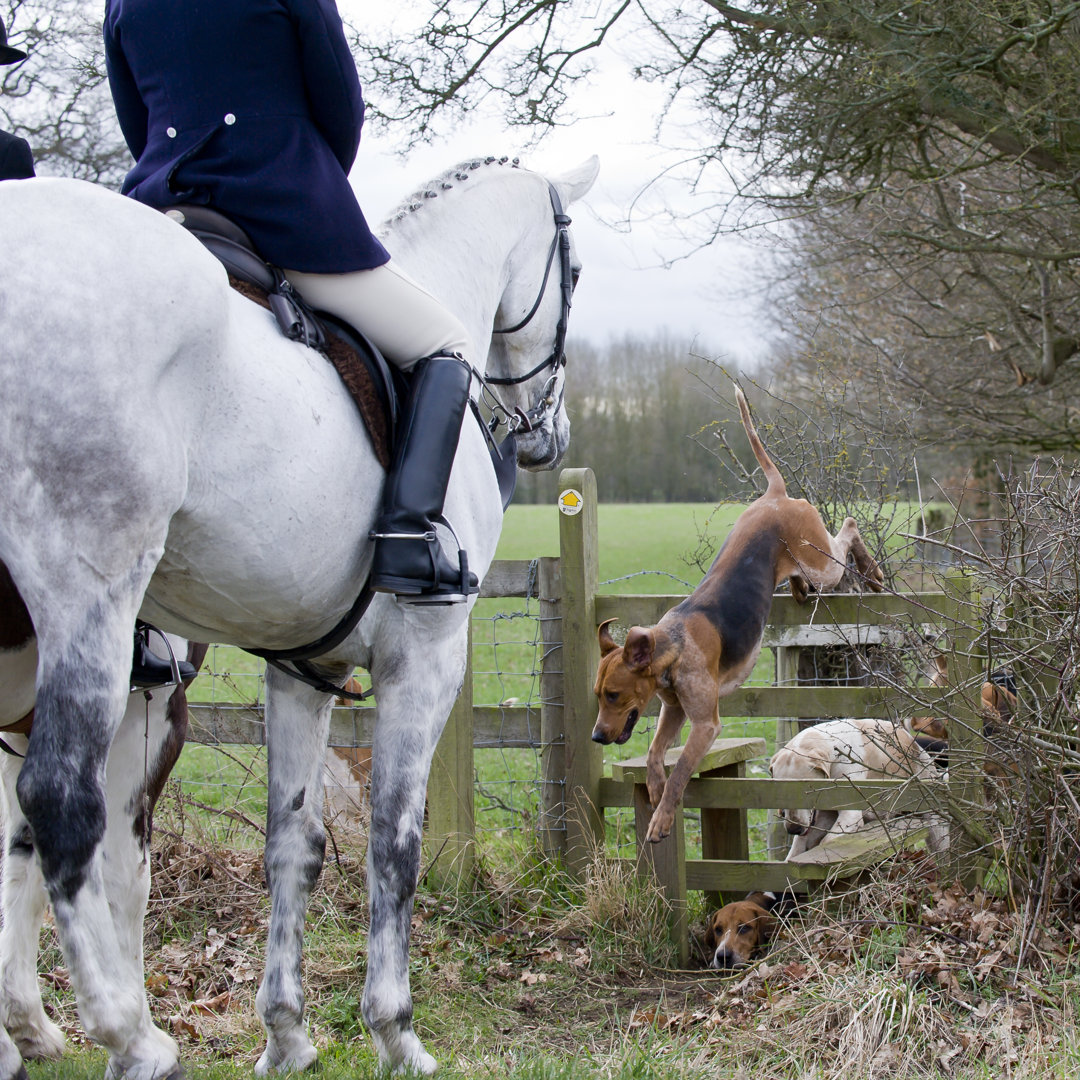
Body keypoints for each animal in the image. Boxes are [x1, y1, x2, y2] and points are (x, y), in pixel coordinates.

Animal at [591, 388, 885, 842]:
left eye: (613, 695)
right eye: (598, 694)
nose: (596, 736)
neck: (672, 647)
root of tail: (775, 495)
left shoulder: (705, 724)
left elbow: (681, 772)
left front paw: (662, 817)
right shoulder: (673, 711)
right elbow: (656, 753)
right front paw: (654, 787)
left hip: (821, 560)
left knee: (849, 527)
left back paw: (871, 571)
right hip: (808, 566)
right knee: (810, 572)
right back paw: (799, 589)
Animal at [768, 717, 946, 859]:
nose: (794, 830)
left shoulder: (849, 818)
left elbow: (826, 842)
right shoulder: (822, 818)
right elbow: (797, 849)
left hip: (936, 829)